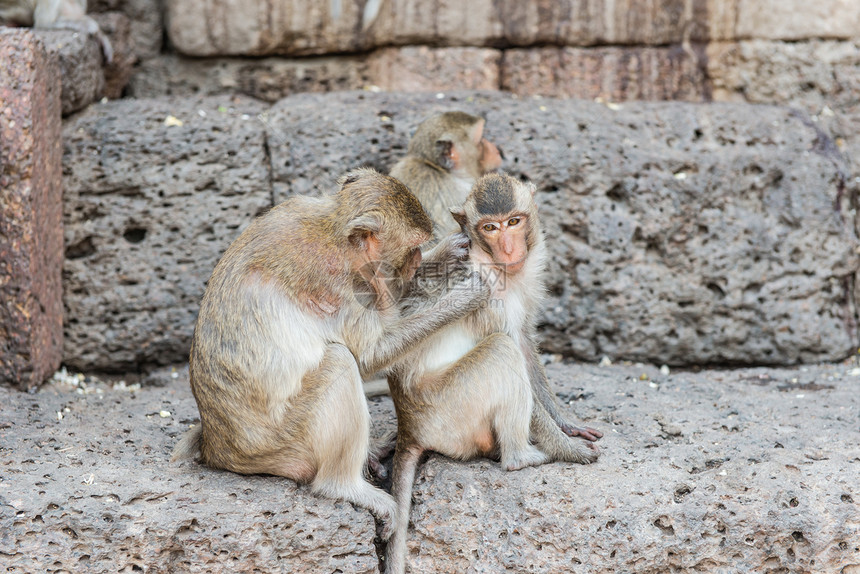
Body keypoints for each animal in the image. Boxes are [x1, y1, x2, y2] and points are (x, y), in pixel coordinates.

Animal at [386, 174, 600, 574]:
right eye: (490, 228)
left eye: (513, 222)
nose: (509, 247)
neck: (494, 264)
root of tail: (409, 426)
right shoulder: (485, 292)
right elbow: (509, 343)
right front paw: (569, 450)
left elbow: (526, 345)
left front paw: (568, 424)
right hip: (449, 408)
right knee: (500, 351)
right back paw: (522, 458)